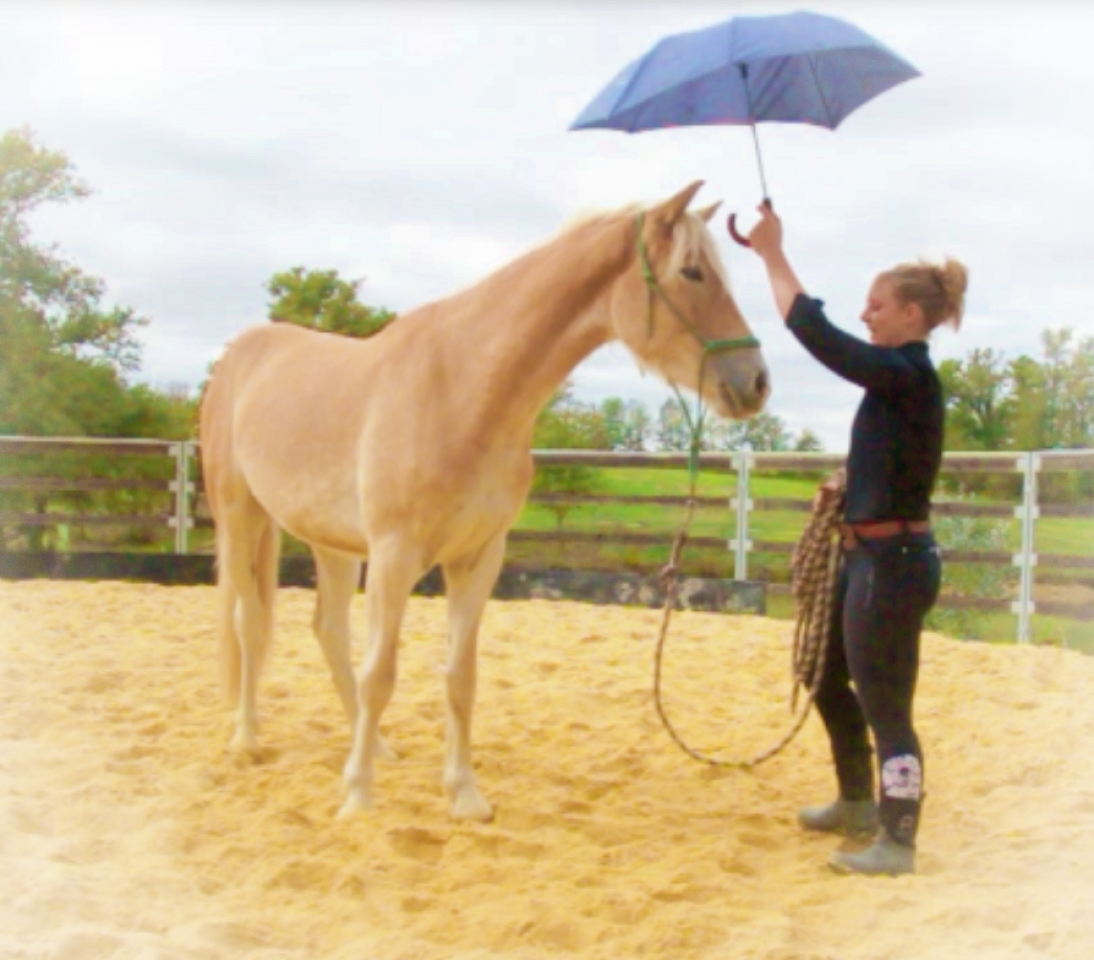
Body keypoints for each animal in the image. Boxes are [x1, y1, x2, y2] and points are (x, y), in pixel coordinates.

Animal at [198, 180, 770, 822]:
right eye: (693, 272)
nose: (755, 382)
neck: (462, 387)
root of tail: (240, 353)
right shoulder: (395, 556)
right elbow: (382, 674)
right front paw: (358, 799)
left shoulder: (478, 558)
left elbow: (460, 677)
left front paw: (464, 795)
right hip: (241, 518)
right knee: (250, 623)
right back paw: (248, 738)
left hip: (332, 544)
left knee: (329, 632)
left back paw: (378, 747)